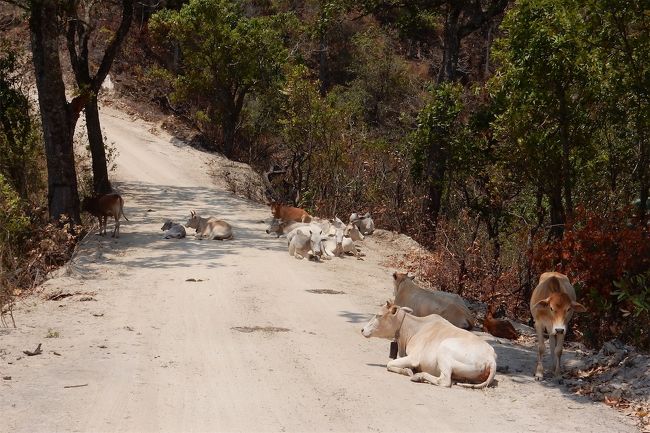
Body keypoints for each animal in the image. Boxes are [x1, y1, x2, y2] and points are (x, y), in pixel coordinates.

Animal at [362, 300, 494, 388]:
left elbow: (389, 364)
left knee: (445, 381)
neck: (414, 329)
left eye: (378, 315)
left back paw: (419, 376)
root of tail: (491, 358)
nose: (362, 330)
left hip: (444, 349)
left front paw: (407, 371)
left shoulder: (414, 358)